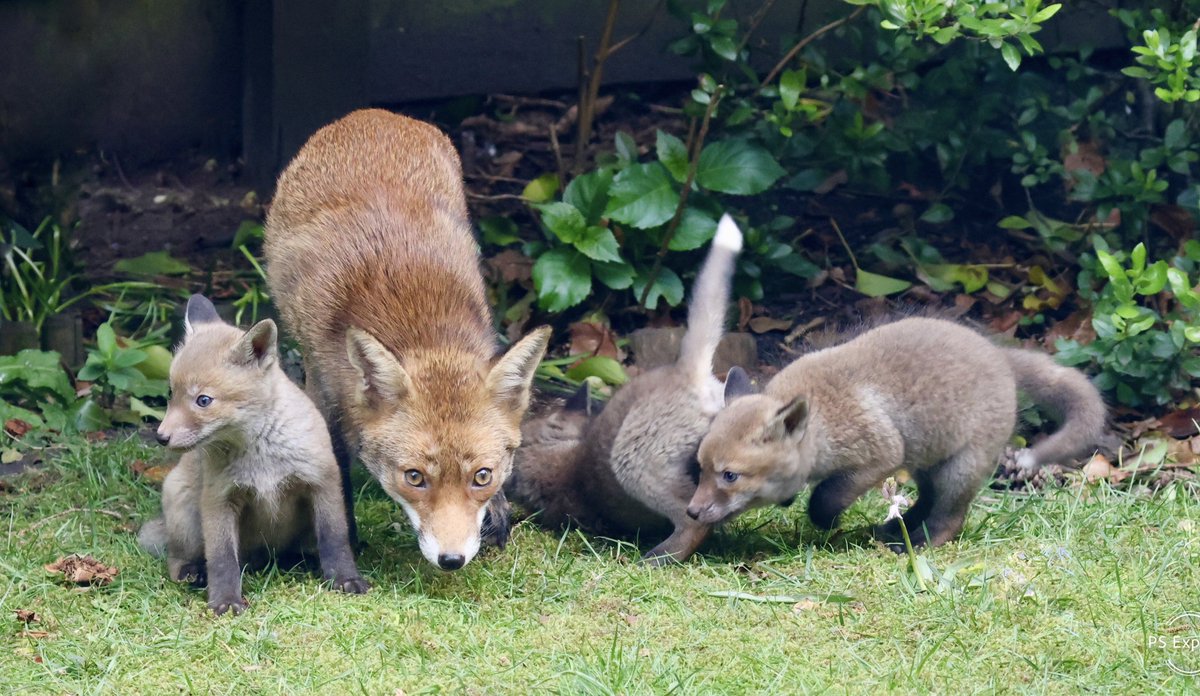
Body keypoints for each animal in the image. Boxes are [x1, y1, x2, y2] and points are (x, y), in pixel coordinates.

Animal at [138, 294, 368, 615]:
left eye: (203, 400)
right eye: (171, 393)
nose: (161, 436)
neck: (262, 455)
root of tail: (264, 557)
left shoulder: (322, 484)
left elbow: (335, 541)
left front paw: (345, 579)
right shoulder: (219, 499)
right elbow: (222, 559)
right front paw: (225, 600)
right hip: (183, 509)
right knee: (179, 558)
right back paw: (193, 571)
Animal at [263, 109, 551, 571]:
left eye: (481, 477)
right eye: (414, 477)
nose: (452, 560)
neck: (420, 322)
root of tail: (373, 115)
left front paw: (498, 513)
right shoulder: (325, 394)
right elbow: (334, 472)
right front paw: (344, 543)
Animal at [686, 316, 1109, 549]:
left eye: (730, 476)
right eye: (700, 468)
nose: (691, 511)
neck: (823, 423)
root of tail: (997, 353)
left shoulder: (879, 455)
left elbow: (825, 496)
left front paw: (826, 523)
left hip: (959, 468)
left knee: (950, 519)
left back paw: (918, 544)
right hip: (926, 461)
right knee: (927, 501)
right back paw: (897, 528)